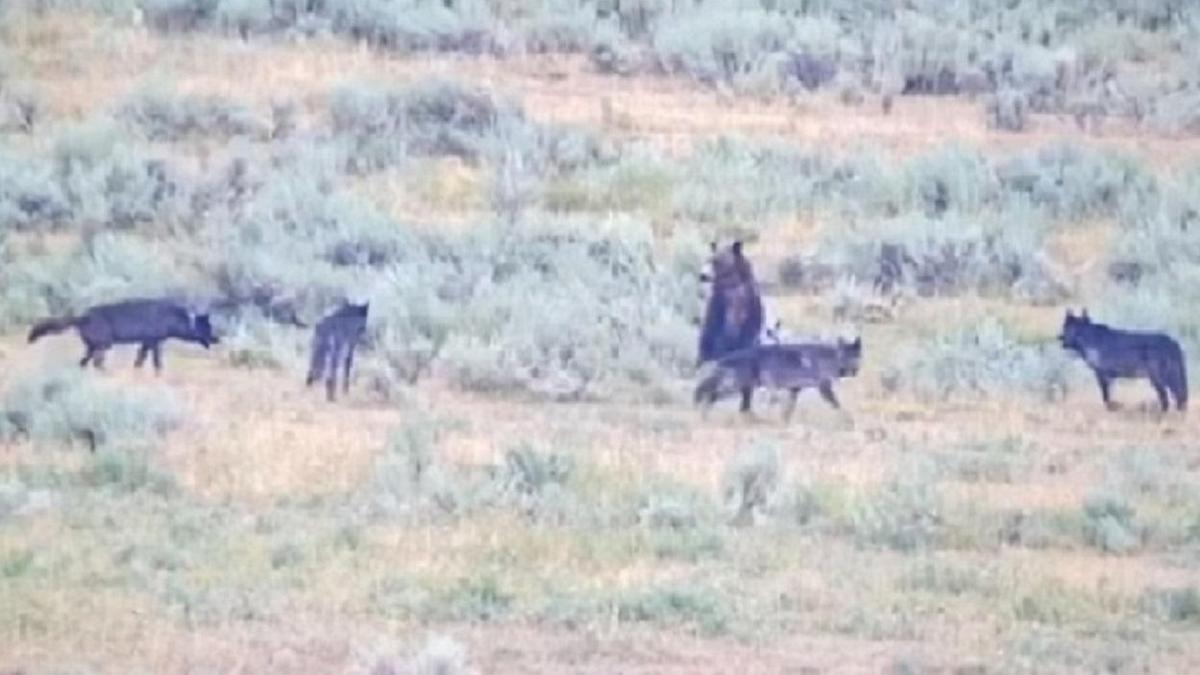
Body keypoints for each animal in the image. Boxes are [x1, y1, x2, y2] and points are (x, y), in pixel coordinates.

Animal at [27, 296, 218, 369]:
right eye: (207, 328)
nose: (217, 339)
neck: (172, 317)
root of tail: (83, 317)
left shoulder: (146, 343)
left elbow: (140, 360)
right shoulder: (154, 342)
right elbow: (156, 362)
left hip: (92, 347)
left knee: (83, 362)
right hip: (103, 346)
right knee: (96, 363)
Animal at [696, 336, 864, 420]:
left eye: (856, 357)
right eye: (845, 356)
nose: (853, 371)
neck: (831, 358)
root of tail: (725, 358)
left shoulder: (794, 390)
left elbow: (788, 411)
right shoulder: (824, 388)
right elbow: (838, 405)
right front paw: (846, 419)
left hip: (744, 389)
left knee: (740, 407)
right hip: (733, 388)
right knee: (710, 395)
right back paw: (703, 416)